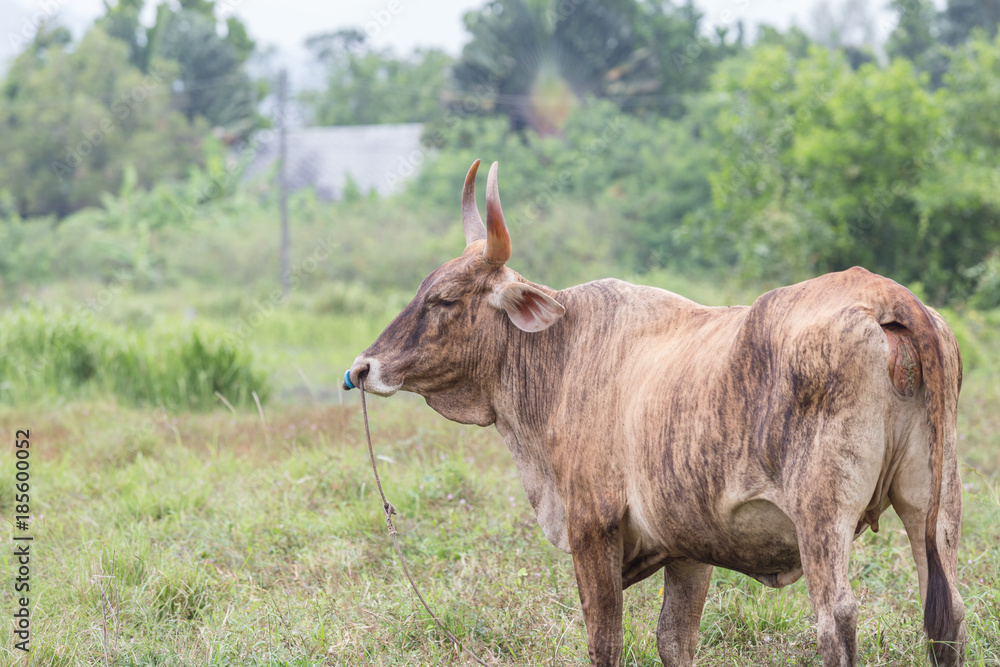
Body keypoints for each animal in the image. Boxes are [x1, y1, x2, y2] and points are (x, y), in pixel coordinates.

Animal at [343, 160, 966, 667]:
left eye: (444, 299)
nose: (363, 368)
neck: (560, 354)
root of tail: (884, 296)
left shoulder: (592, 527)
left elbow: (605, 642)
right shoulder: (690, 547)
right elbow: (674, 639)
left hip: (822, 512)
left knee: (836, 621)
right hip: (934, 504)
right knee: (948, 614)